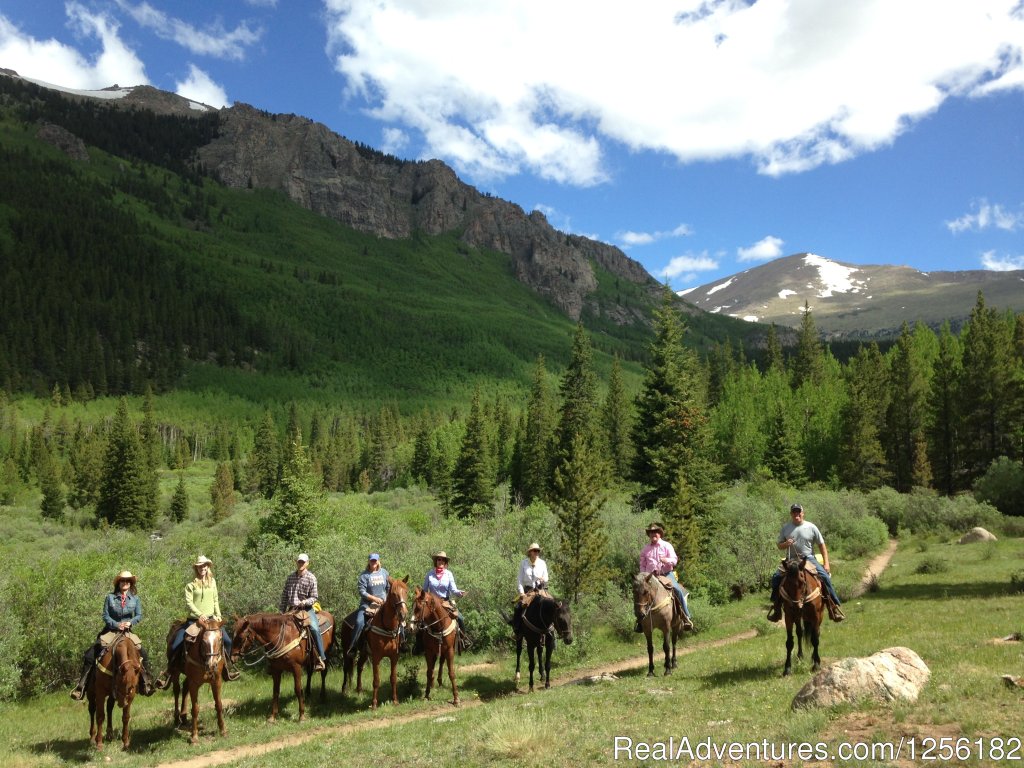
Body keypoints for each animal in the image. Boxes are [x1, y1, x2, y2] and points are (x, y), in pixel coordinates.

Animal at [342, 577, 409, 708]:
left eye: (406, 592)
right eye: (394, 594)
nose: (403, 614)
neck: (387, 628)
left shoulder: (394, 657)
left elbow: (393, 678)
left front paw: (395, 700)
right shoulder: (376, 657)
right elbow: (376, 680)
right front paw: (374, 704)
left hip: (364, 652)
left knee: (359, 666)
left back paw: (359, 690)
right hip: (346, 651)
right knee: (346, 668)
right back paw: (344, 691)